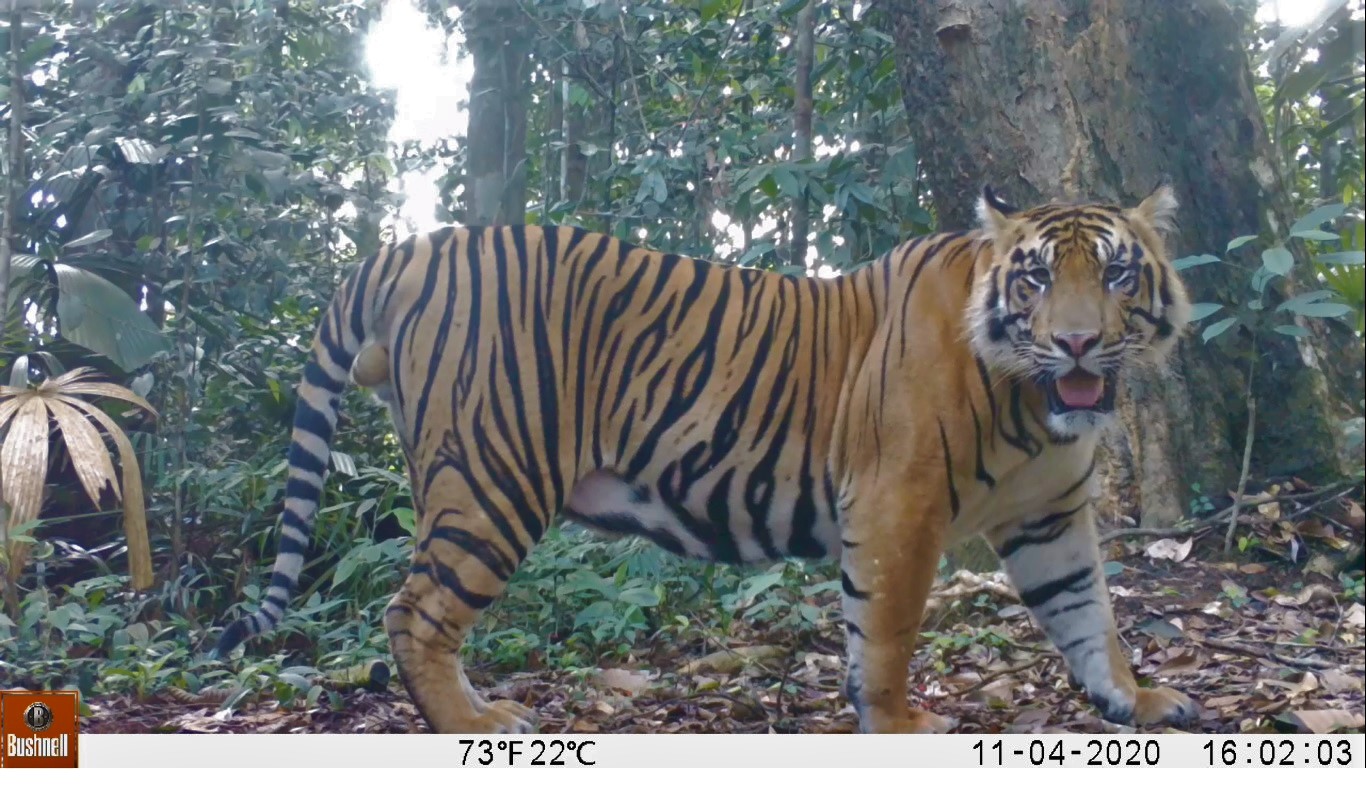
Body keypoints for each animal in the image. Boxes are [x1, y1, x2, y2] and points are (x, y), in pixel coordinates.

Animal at [215, 184, 1200, 734]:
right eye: (1034, 279)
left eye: (1117, 274)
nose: (1077, 344)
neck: (1034, 408)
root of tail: (407, 249)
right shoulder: (897, 505)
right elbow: (884, 632)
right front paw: (897, 725)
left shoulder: (1051, 518)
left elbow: (1090, 617)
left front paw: (1137, 701)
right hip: (491, 479)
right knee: (413, 612)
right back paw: (474, 719)